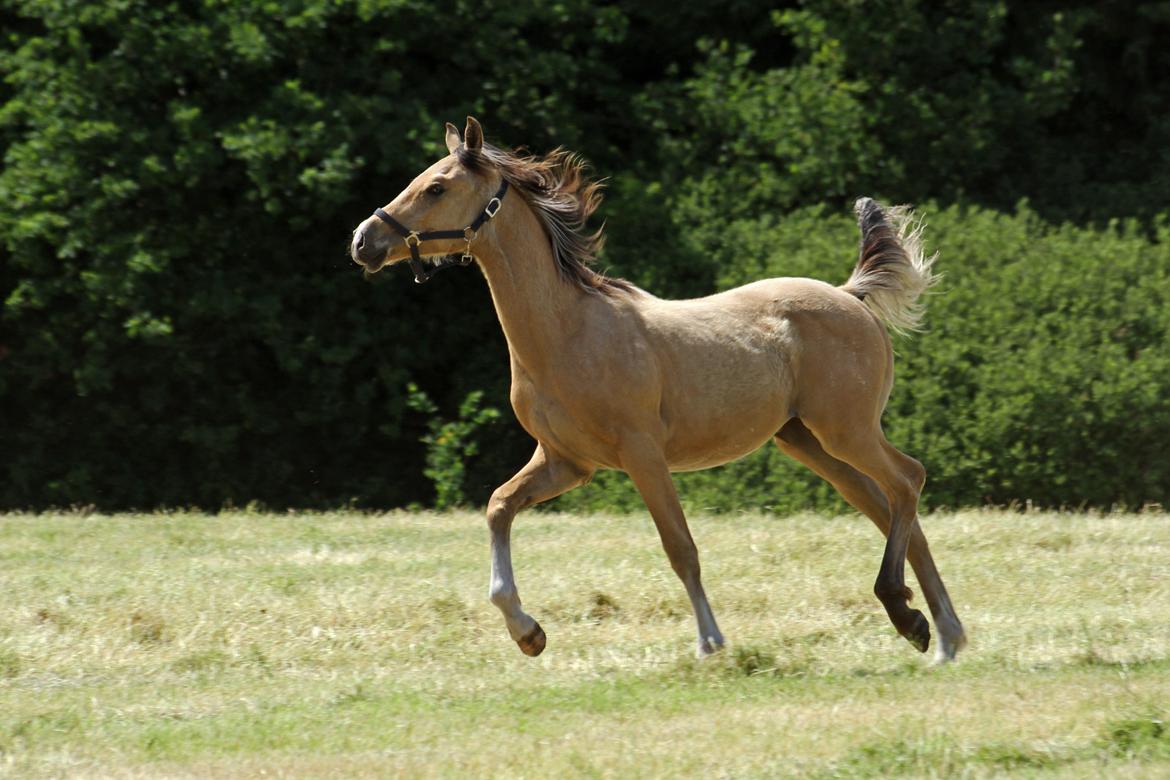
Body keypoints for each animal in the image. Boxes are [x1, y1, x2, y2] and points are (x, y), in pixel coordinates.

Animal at [348, 117, 968, 664]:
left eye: (437, 186)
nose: (363, 241)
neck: (566, 332)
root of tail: (850, 295)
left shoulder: (641, 454)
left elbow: (681, 548)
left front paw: (710, 644)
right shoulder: (566, 462)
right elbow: (498, 507)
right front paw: (528, 634)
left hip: (847, 430)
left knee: (908, 481)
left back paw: (916, 619)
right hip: (808, 442)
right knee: (891, 508)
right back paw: (936, 632)